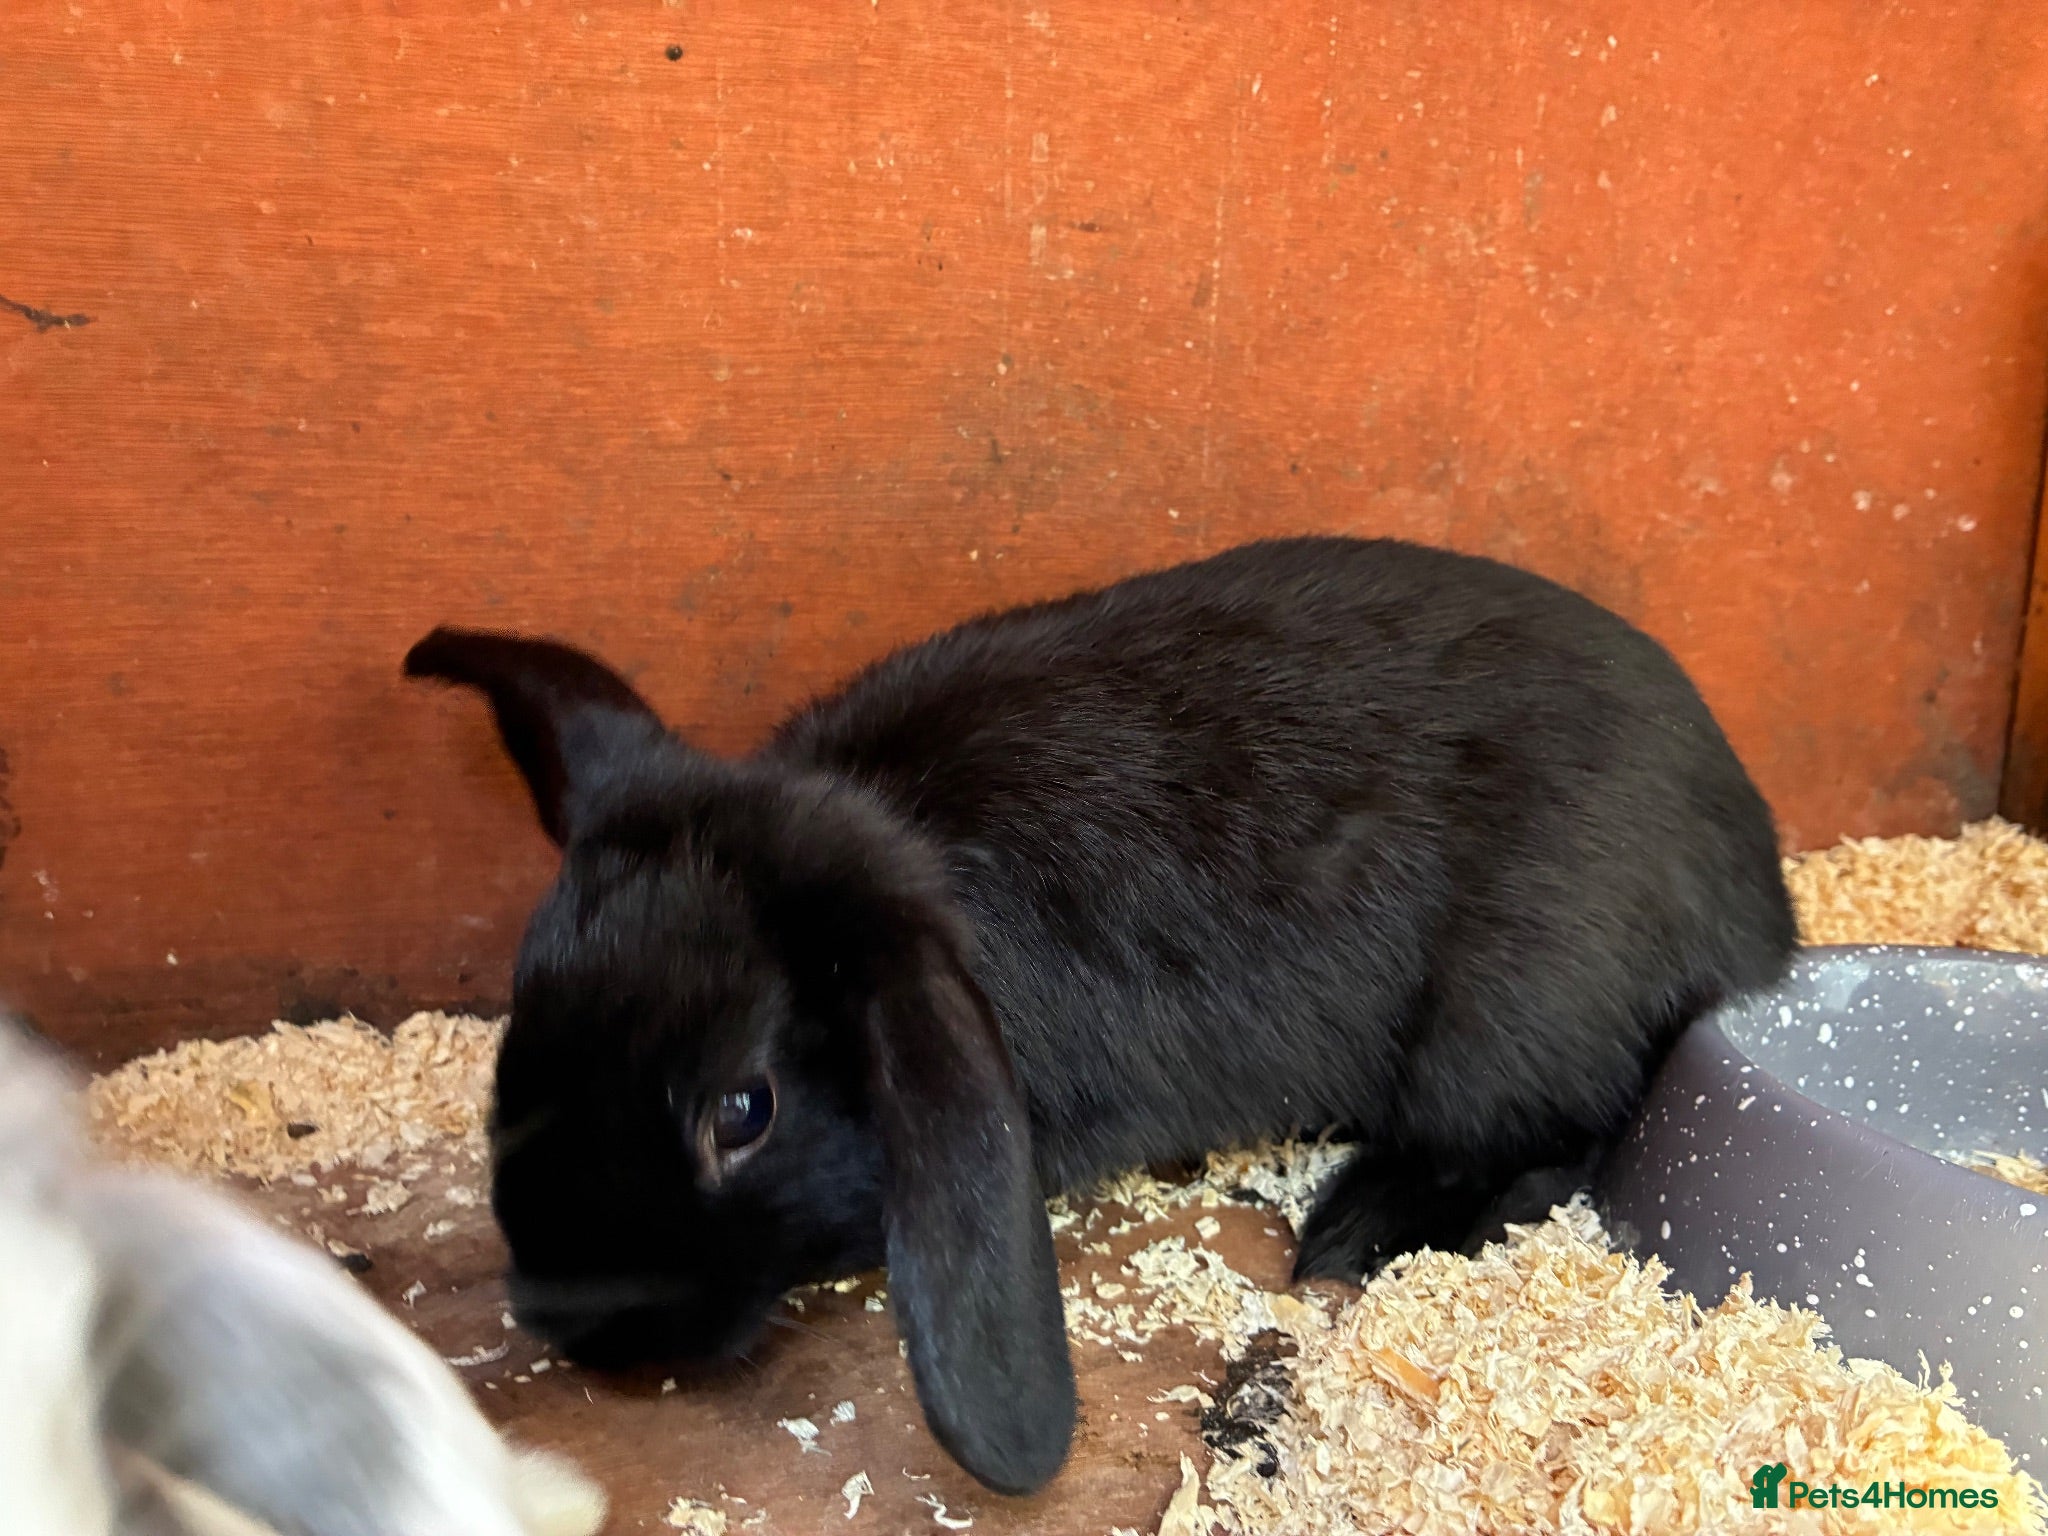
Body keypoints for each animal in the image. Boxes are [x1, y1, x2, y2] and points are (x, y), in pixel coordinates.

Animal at [403, 533, 1798, 1495]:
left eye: (741, 1111)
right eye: (520, 1029)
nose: (576, 1323)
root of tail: (1759, 901)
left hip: (1510, 1020)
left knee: (1564, 1138)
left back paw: (1362, 1225)